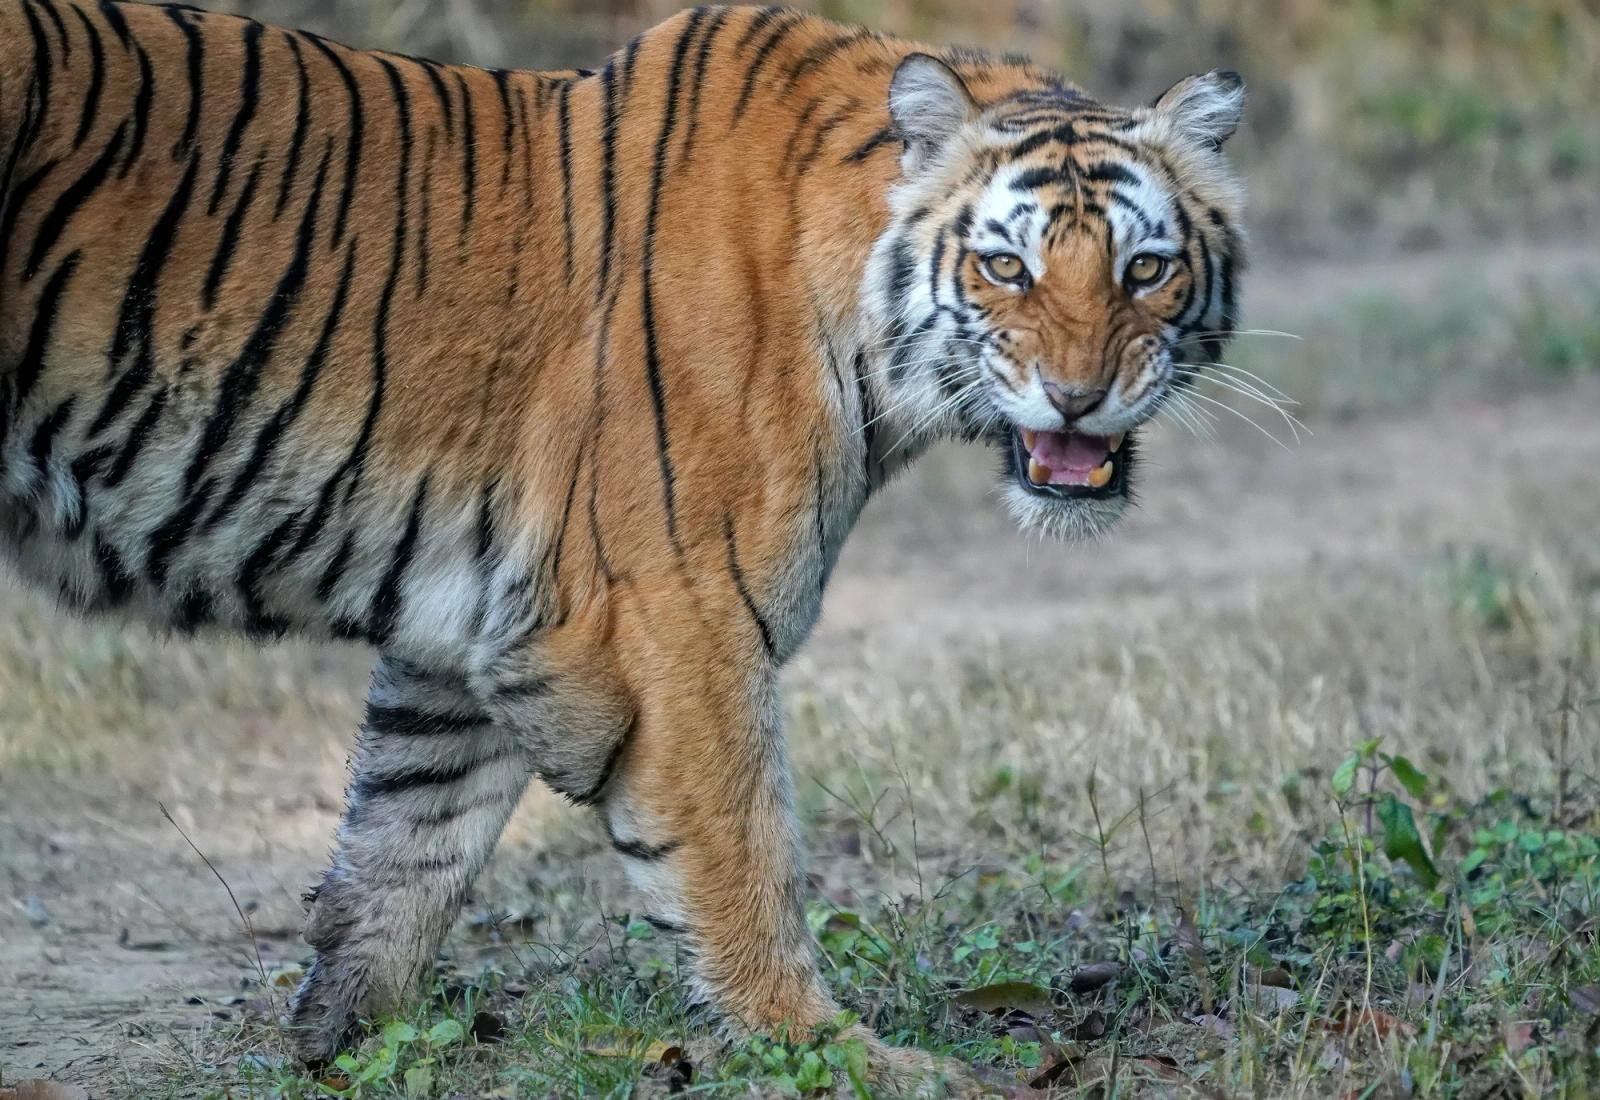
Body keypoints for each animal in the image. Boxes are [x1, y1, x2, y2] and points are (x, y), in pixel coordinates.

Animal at [0, 0, 1246, 1085]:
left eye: (1144, 267)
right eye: (1005, 266)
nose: (1078, 397)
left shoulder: (479, 622)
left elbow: (406, 833)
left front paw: (341, 1041)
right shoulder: (673, 613)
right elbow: (742, 852)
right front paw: (833, 1051)